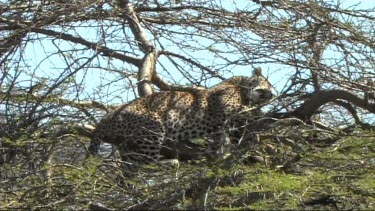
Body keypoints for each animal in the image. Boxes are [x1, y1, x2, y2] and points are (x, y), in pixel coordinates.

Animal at [89, 67, 274, 175]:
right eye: (266, 85)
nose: (269, 95)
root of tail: (103, 120)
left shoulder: (219, 128)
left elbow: (219, 143)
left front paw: (217, 157)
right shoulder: (229, 109)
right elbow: (247, 113)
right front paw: (266, 114)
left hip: (127, 145)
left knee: (131, 166)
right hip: (153, 127)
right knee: (146, 163)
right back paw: (171, 162)